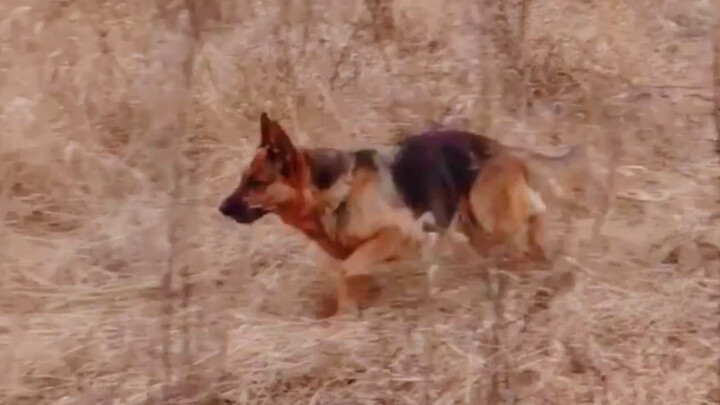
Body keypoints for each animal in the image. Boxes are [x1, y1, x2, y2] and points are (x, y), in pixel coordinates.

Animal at [219, 112, 584, 318]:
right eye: (243, 178)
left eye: (256, 183)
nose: (221, 208)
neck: (332, 193)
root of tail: (501, 147)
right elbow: (351, 275)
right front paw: (348, 315)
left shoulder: (399, 234)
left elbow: (348, 270)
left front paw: (343, 316)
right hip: (478, 228)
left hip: (492, 217)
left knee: (533, 223)